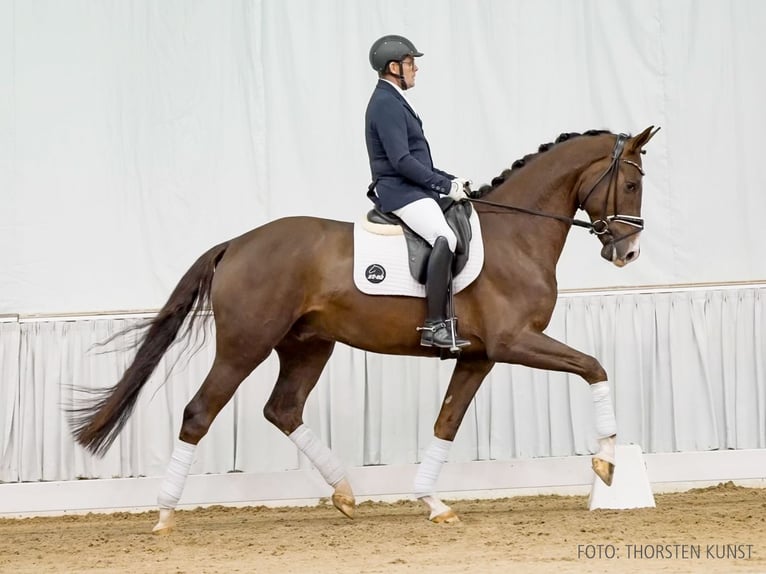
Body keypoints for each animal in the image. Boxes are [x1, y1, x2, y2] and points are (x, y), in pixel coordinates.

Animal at [70, 127, 660, 536]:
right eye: (632, 184)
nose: (628, 253)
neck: (517, 234)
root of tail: (236, 243)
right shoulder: (514, 342)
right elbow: (594, 367)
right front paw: (608, 461)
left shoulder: (479, 355)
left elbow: (447, 422)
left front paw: (434, 503)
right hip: (245, 345)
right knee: (199, 412)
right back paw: (165, 515)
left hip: (308, 345)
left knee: (283, 409)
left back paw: (346, 492)